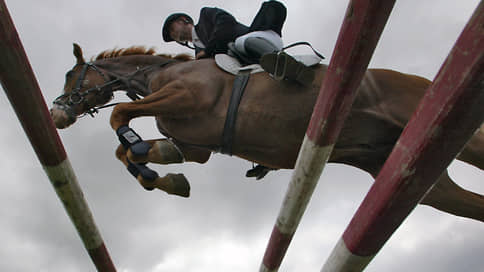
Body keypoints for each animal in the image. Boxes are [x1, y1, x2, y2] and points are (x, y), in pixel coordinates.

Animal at [50, 43, 484, 223]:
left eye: (71, 74)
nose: (56, 114)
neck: (159, 73)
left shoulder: (185, 96)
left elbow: (119, 116)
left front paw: (143, 155)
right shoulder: (194, 145)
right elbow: (133, 153)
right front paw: (166, 179)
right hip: (421, 179)